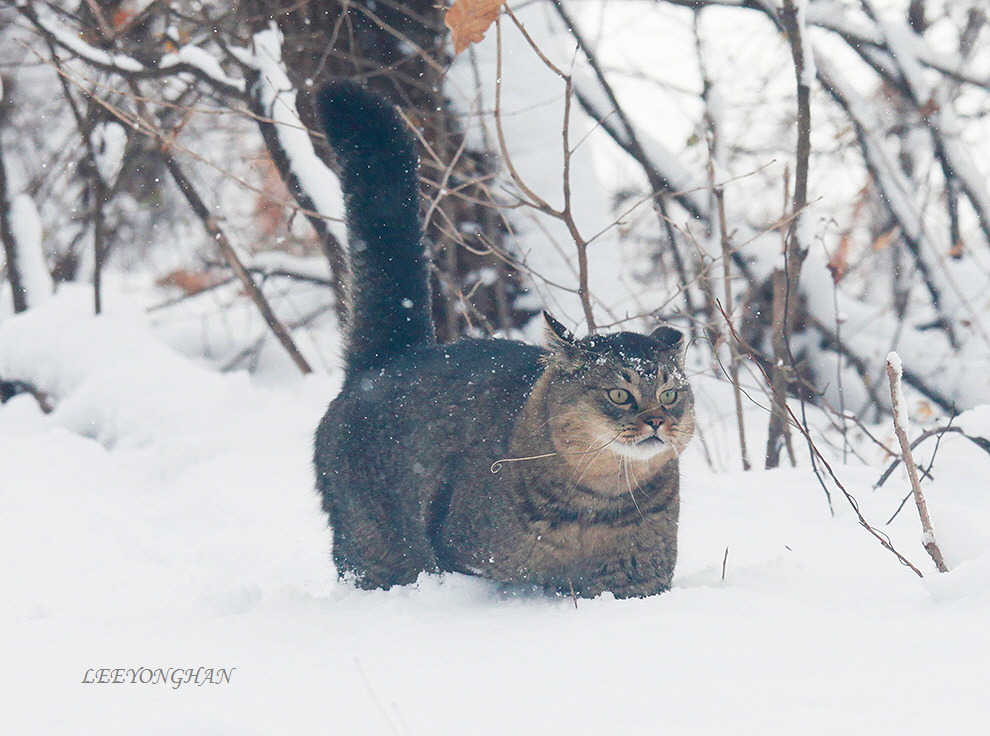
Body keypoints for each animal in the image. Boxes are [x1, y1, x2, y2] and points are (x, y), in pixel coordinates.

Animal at [312, 82, 696, 600]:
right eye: (620, 394)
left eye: (671, 394)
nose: (658, 419)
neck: (599, 504)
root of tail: (388, 358)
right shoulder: (464, 555)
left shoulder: (638, 580)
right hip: (372, 554)